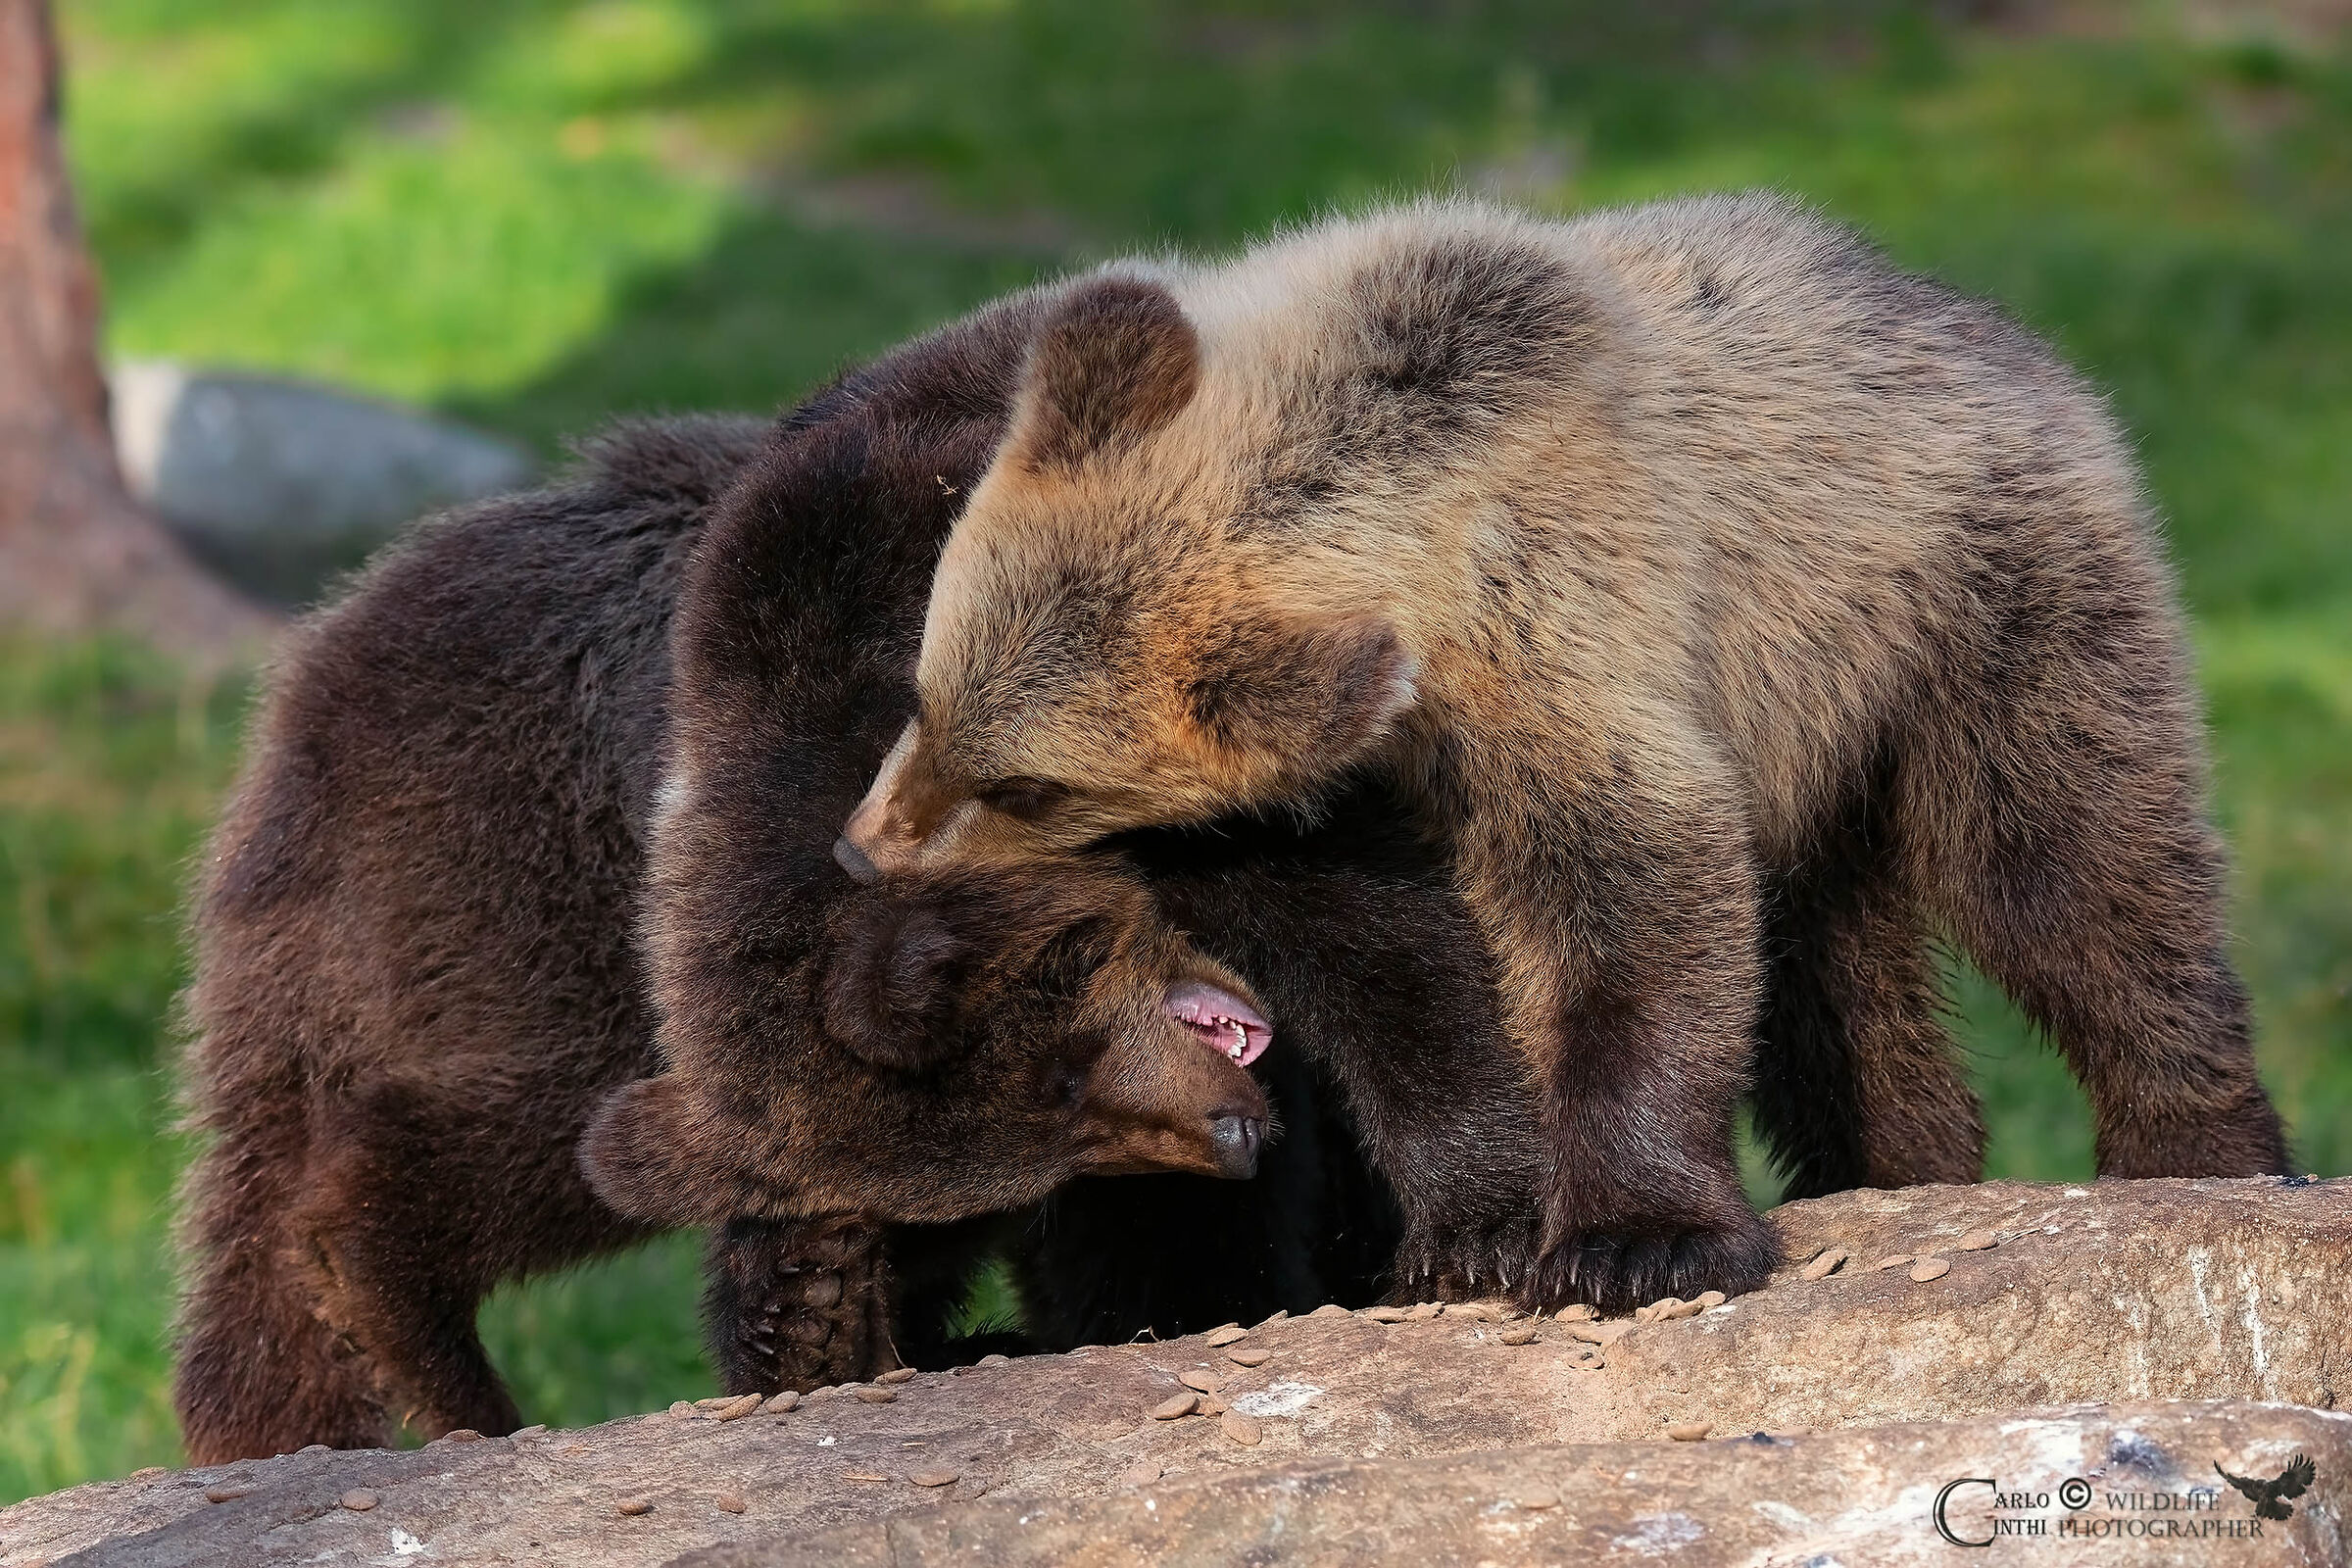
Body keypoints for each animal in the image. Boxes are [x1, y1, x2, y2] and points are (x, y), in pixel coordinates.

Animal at [838, 193, 2293, 1311]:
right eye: (924, 688)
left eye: (1030, 784)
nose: (862, 851)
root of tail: (2002, 331)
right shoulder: (1337, 788)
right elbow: (1388, 963)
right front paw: (1472, 1230)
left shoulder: (1563, 647)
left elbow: (1625, 895)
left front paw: (1632, 1239)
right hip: (1818, 729)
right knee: (1837, 976)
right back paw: (1898, 1157)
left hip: (1967, 608)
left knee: (2070, 863)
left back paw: (2197, 1136)